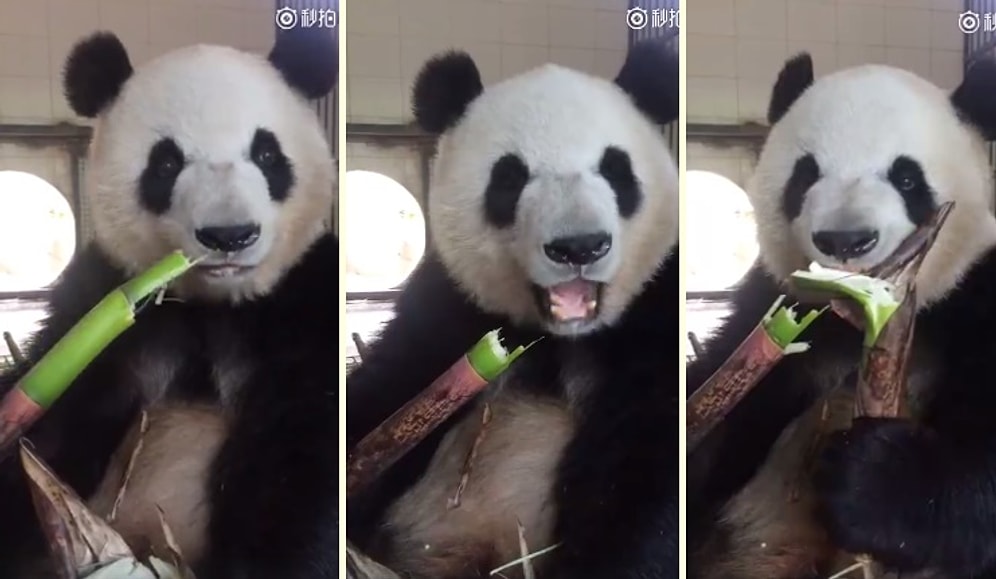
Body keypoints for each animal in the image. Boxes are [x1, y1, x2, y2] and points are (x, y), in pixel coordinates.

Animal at [0, 27, 339, 579]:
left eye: (267, 155)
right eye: (165, 162)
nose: (229, 235)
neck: (210, 303)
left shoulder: (302, 304)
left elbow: (303, 458)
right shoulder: (104, 310)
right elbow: (53, 437)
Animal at [345, 40, 679, 579]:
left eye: (615, 170)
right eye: (510, 177)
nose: (578, 246)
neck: (560, 335)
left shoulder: (653, 314)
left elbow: (645, 466)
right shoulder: (452, 309)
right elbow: (384, 391)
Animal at [687, 52, 996, 579]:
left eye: (907, 178)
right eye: (806, 174)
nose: (845, 240)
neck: (854, 320)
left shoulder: (978, 295)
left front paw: (874, 480)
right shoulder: (776, 310)